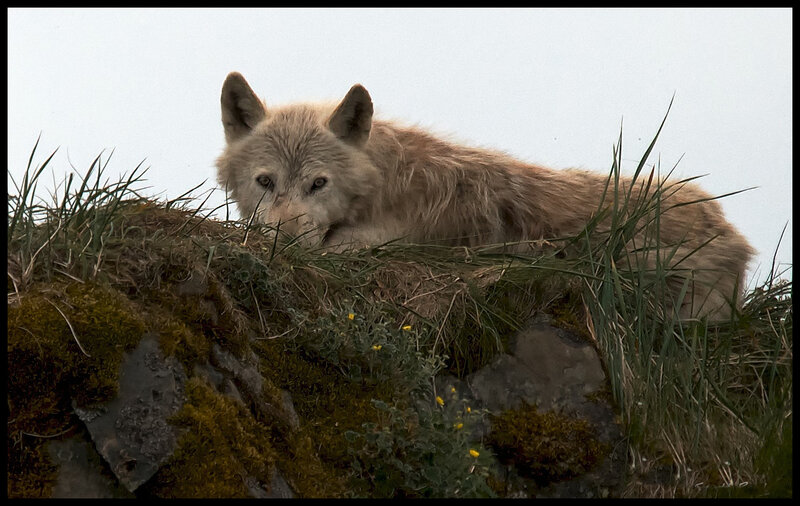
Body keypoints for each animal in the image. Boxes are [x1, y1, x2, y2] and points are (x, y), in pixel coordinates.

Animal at [216, 72, 754, 321]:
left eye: (318, 184)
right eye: (265, 182)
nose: (280, 242)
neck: (386, 187)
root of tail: (736, 239)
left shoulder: (369, 243)